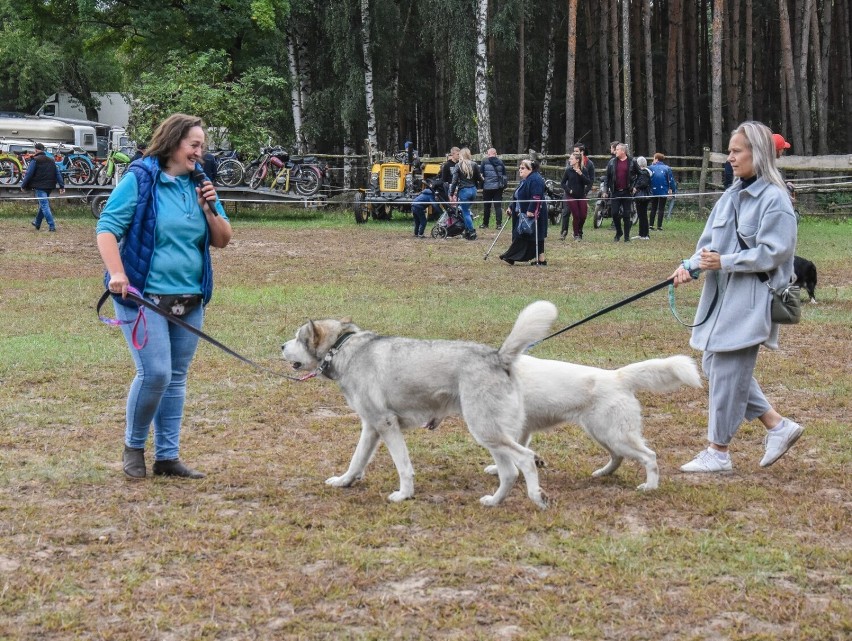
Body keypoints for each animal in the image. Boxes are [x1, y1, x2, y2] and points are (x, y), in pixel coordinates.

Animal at [282, 302, 560, 508]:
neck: (343, 349)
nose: (281, 345)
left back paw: (537, 498)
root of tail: (498, 356)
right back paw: (493, 501)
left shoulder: (386, 424)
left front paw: (404, 494)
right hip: (491, 436)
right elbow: (357, 460)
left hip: (485, 432)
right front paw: (344, 481)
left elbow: (403, 466)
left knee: (526, 459)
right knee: (510, 472)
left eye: (297, 337)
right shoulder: (371, 428)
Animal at [486, 356, 704, 490]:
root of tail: (617, 376)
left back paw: (649, 487)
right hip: (601, 434)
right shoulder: (520, 430)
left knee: (649, 456)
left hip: (616, 437)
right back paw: (603, 473)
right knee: (618, 457)